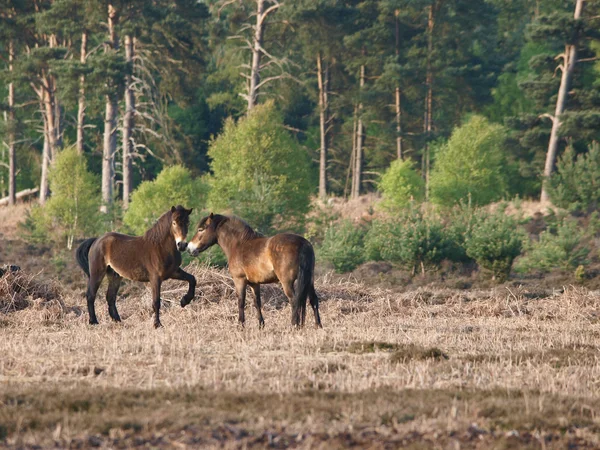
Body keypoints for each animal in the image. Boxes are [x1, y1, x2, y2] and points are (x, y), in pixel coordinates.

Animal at [189, 213, 322, 328]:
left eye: (201, 229)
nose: (189, 248)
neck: (239, 244)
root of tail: (303, 244)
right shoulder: (254, 283)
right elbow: (257, 303)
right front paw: (261, 325)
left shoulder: (239, 280)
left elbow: (241, 302)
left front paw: (241, 325)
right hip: (309, 280)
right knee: (313, 300)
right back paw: (318, 326)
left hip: (287, 282)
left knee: (294, 301)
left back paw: (294, 325)